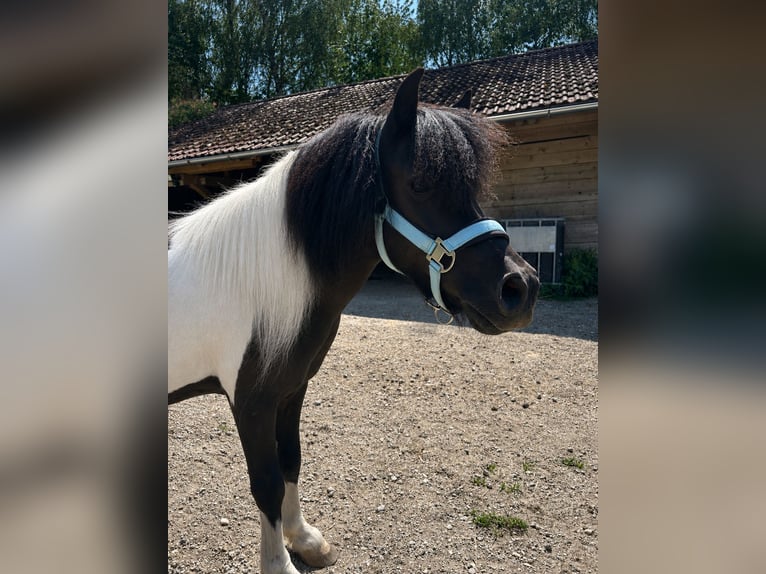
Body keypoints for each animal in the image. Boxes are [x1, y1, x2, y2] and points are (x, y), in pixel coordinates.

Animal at [168, 68, 539, 574]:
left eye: (473, 187)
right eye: (420, 183)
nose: (520, 288)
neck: (257, 280)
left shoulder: (291, 390)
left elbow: (291, 461)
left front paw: (305, 539)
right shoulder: (251, 403)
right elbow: (265, 482)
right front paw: (279, 563)